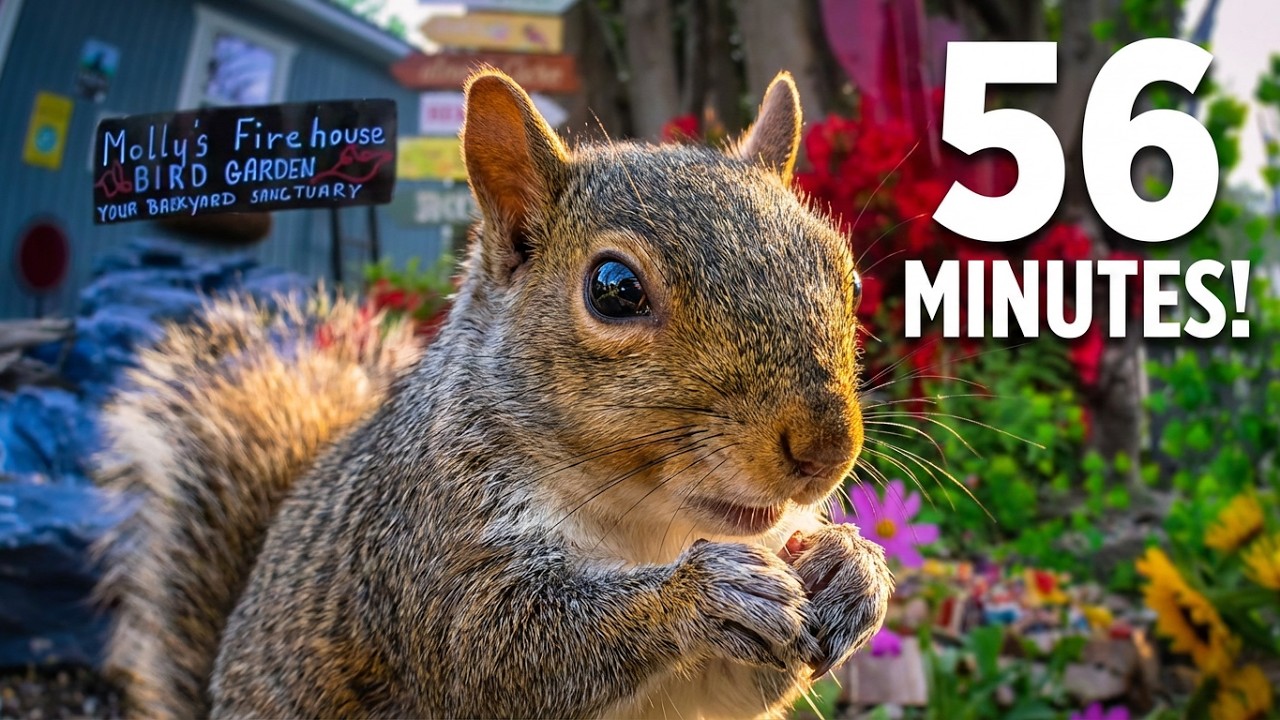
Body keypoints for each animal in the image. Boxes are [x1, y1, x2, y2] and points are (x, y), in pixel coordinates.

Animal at [94, 69, 894, 719]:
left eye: (850, 278)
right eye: (614, 289)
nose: (827, 448)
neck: (646, 526)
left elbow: (738, 686)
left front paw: (851, 570)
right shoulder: (428, 547)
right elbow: (493, 652)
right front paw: (702, 593)